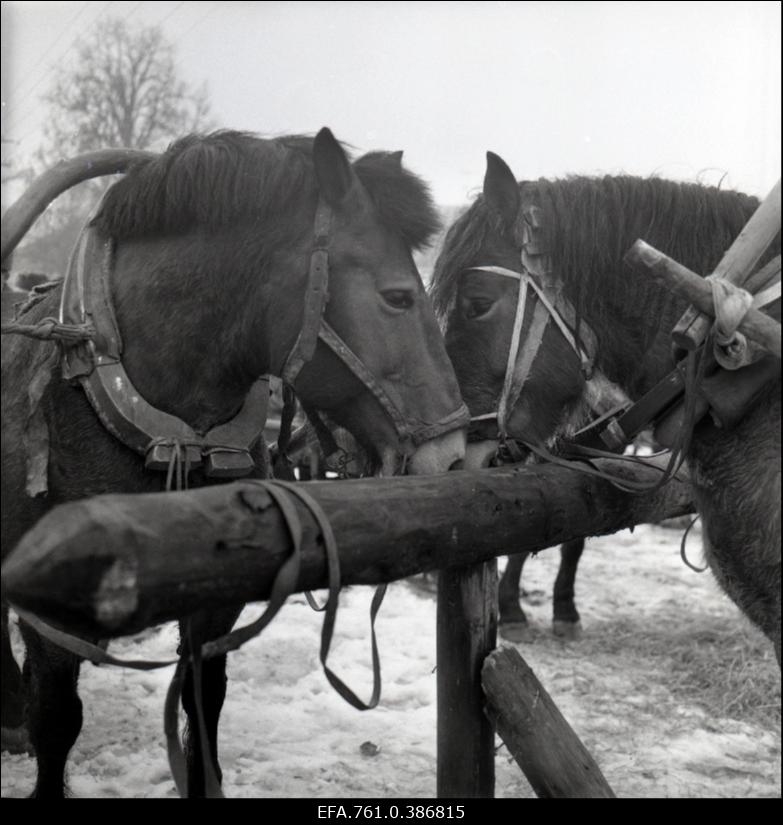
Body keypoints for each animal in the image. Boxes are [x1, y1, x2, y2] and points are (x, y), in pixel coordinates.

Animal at [1, 130, 466, 800]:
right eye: (399, 297)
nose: (452, 458)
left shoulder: (215, 605)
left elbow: (204, 706)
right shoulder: (50, 613)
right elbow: (57, 720)